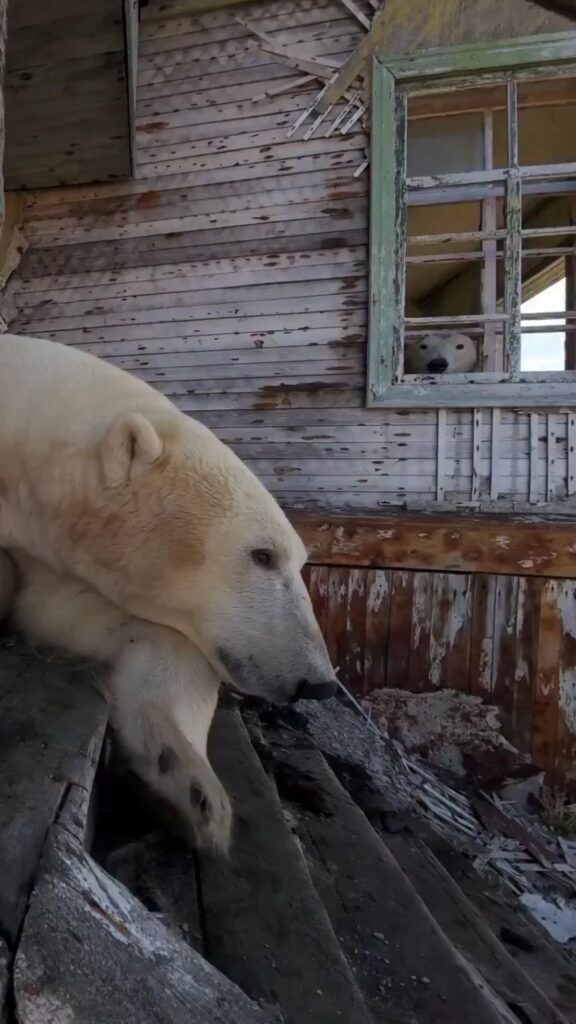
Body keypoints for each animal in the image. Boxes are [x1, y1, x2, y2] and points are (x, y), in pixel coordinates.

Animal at [0, 333, 340, 852]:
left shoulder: (56, 559)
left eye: (298, 560)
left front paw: (190, 785)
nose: (319, 682)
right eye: (262, 554)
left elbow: (87, 617)